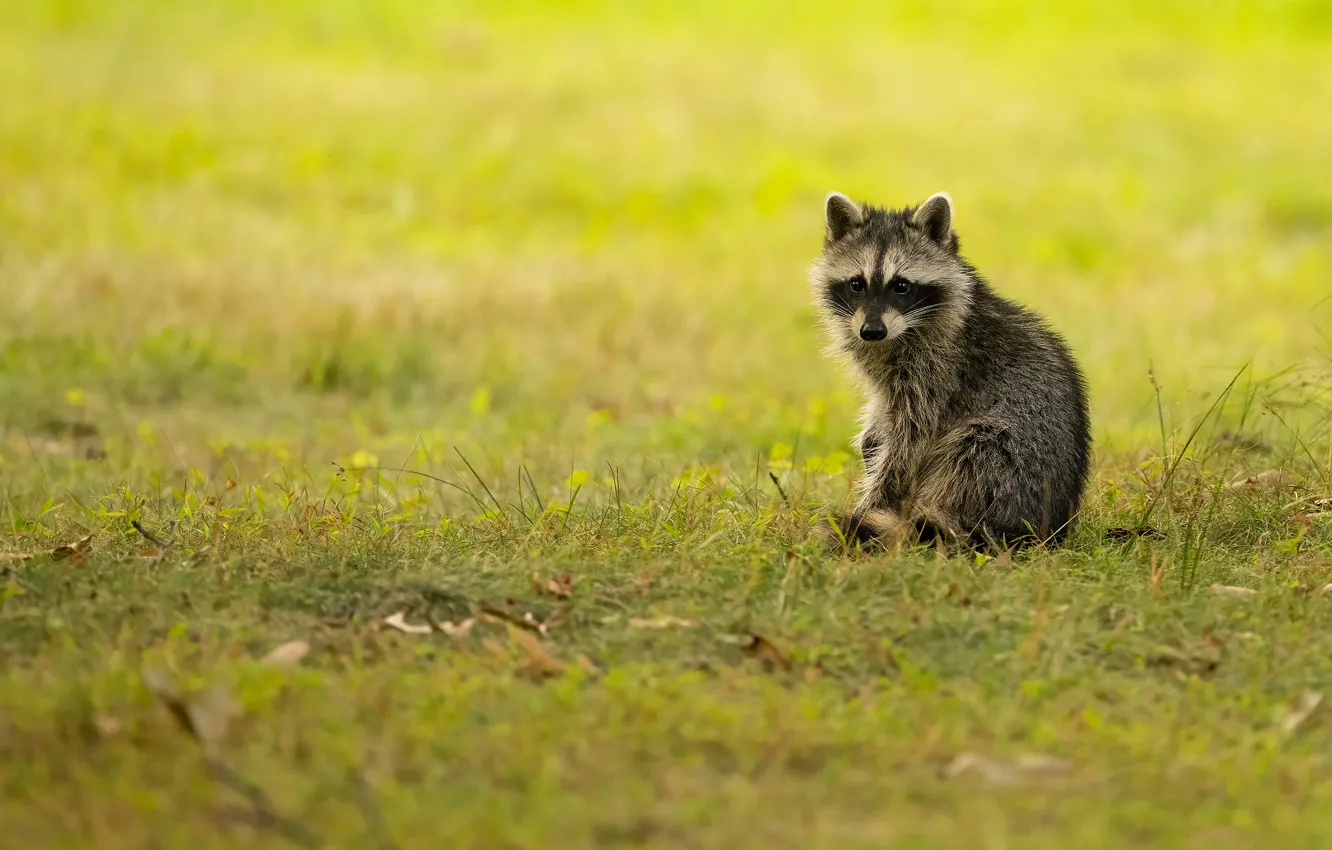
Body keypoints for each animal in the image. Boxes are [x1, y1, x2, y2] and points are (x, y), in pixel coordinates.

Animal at [809, 191, 1091, 552]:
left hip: (1012, 458)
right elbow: (881, 418)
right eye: (857, 284)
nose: (872, 332)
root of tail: (1051, 529)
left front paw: (873, 504)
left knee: (975, 448)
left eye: (901, 286)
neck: (901, 331)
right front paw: (870, 444)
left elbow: (909, 441)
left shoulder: (940, 370)